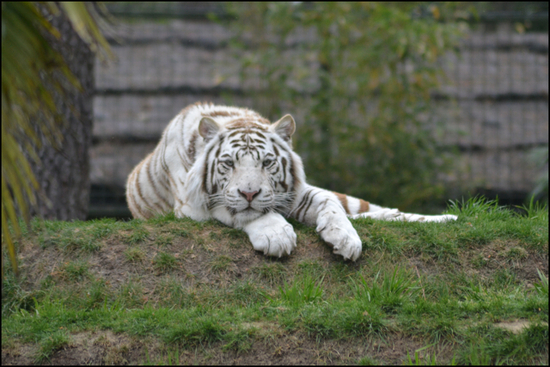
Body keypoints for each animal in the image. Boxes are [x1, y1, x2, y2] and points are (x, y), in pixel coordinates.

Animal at [127, 102, 460, 260]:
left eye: (267, 162)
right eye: (229, 163)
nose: (250, 192)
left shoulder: (295, 193)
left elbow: (329, 202)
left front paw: (346, 238)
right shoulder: (193, 206)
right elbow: (245, 213)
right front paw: (277, 236)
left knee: (376, 211)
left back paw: (446, 218)